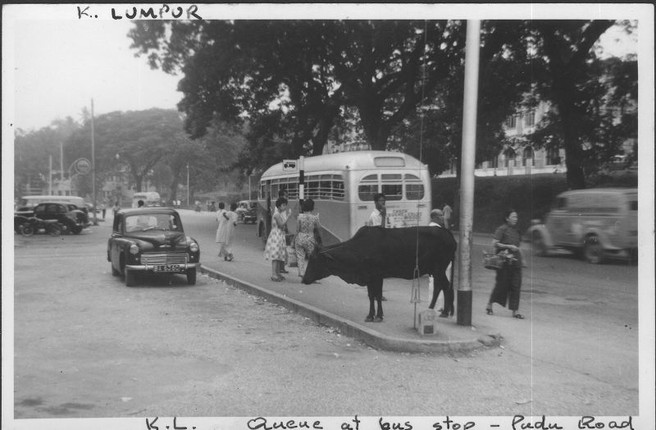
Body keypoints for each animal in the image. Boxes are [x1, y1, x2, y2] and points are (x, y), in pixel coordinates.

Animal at [302, 225, 456, 322]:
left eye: (314, 260)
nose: (304, 279)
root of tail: (447, 232)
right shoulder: (370, 278)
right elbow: (372, 296)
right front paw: (371, 315)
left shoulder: (377, 276)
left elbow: (377, 296)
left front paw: (378, 316)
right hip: (436, 270)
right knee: (442, 287)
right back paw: (439, 310)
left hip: (439, 269)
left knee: (444, 286)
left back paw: (439, 311)